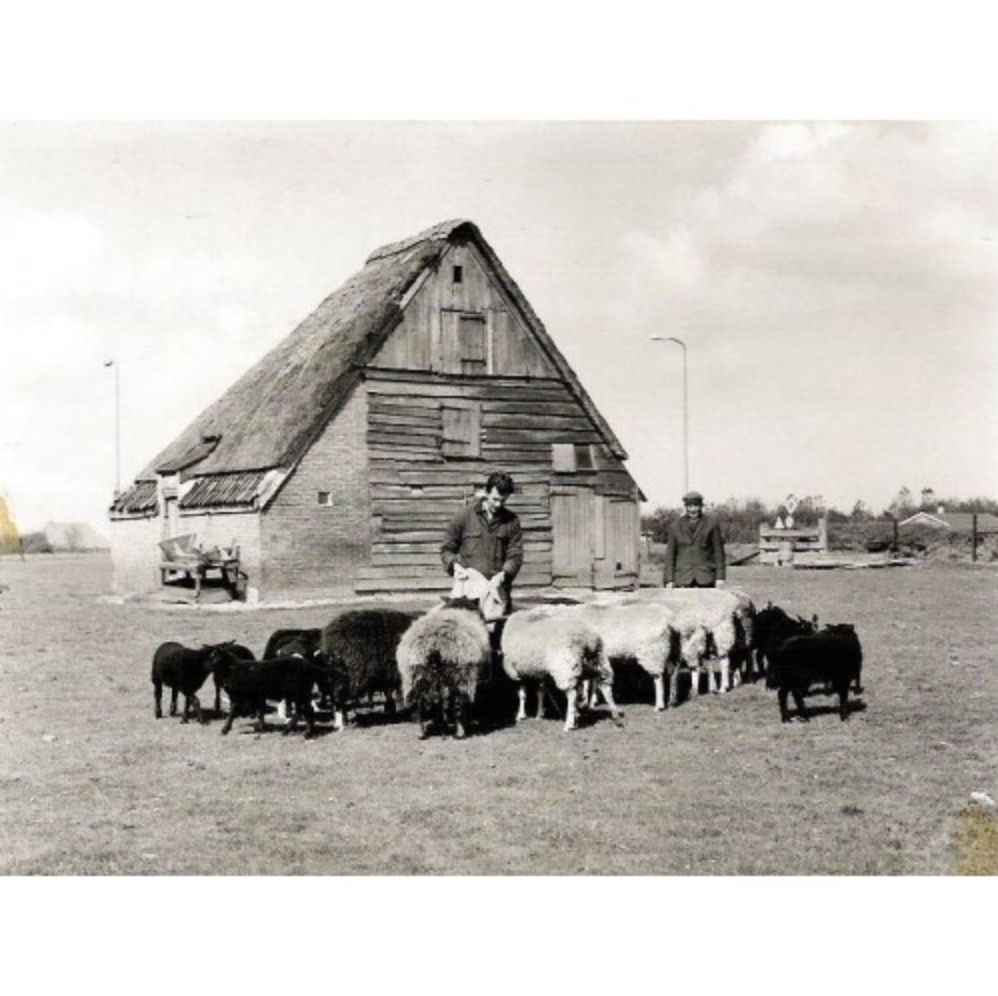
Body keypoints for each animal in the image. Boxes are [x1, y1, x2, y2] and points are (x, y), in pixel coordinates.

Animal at [396, 596, 494, 736]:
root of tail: (434, 645)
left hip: (414, 673)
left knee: (419, 702)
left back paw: (422, 731)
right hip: (459, 674)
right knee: (457, 703)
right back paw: (460, 731)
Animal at [504, 600, 620, 732]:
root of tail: (588, 639)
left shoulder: (516, 672)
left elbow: (522, 694)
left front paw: (521, 715)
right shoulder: (540, 671)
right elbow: (541, 692)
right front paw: (540, 713)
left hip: (564, 668)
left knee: (572, 694)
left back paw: (569, 724)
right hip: (597, 659)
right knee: (605, 685)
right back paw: (614, 714)